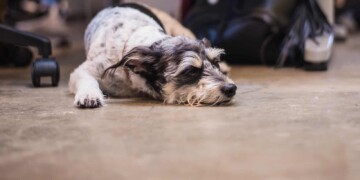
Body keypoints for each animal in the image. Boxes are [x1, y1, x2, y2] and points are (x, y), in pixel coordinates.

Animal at [69, 3, 238, 108]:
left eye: (215, 62)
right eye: (191, 71)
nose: (231, 88)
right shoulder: (83, 70)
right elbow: (86, 79)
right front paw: (89, 96)